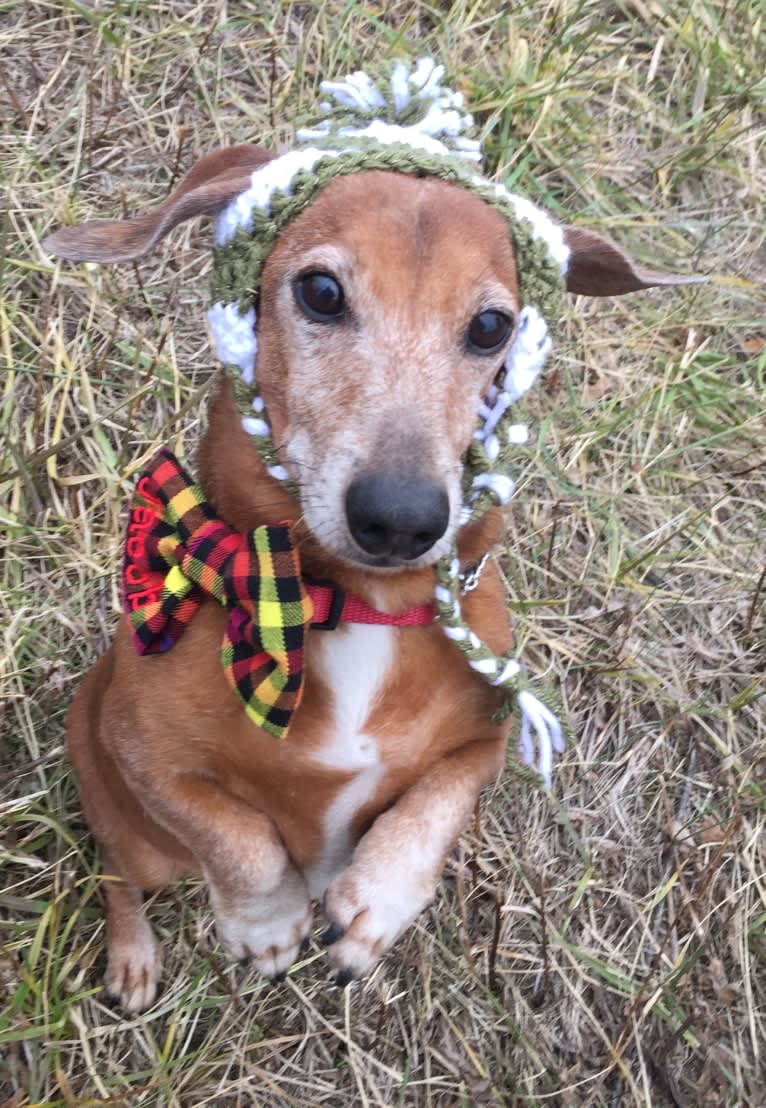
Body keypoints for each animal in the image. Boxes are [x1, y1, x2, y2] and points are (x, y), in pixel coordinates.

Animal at [43, 60, 700, 1014]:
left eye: (493, 325)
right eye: (321, 292)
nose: (400, 518)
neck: (351, 607)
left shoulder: (483, 735)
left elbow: (442, 799)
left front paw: (377, 903)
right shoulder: (146, 757)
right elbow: (231, 829)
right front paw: (266, 917)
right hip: (118, 802)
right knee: (116, 873)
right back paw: (133, 957)